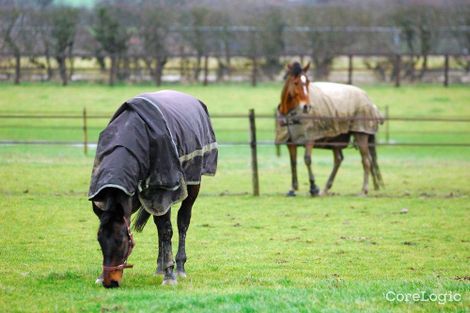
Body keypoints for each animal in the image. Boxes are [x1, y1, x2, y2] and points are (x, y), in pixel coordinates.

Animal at [89, 90, 218, 288]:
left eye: (122, 241)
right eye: (100, 240)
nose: (110, 283)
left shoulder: (161, 193)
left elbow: (167, 230)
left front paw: (170, 275)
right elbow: (162, 229)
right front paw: (101, 276)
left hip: (192, 184)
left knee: (182, 221)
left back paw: (179, 267)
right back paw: (160, 267)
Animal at [278, 62, 384, 196]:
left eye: (307, 82)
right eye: (296, 82)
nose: (307, 107)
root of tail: (369, 101)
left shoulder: (310, 139)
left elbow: (307, 160)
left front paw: (313, 187)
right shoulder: (290, 142)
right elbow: (293, 162)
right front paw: (292, 189)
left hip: (361, 134)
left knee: (366, 160)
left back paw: (363, 191)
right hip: (337, 139)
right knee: (339, 160)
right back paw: (325, 189)